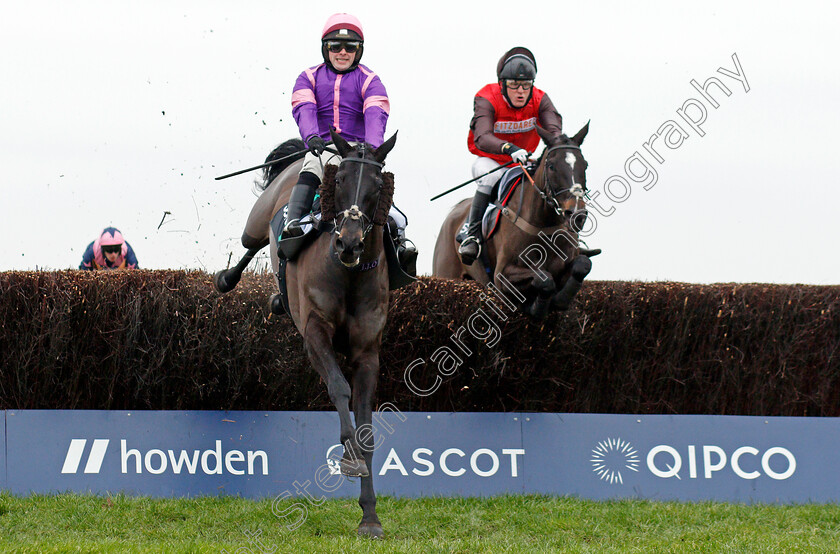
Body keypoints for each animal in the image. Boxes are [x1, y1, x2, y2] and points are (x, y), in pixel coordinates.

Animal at [213, 128, 398, 536]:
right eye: (340, 180)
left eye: (378, 186)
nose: (349, 242)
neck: (347, 273)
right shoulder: (314, 334)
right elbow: (339, 388)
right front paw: (348, 455)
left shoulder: (368, 352)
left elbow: (367, 423)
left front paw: (370, 516)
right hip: (258, 220)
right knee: (249, 246)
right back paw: (228, 278)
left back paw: (275, 300)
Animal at [434, 122, 596, 316]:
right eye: (551, 166)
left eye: (585, 165)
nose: (577, 215)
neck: (544, 225)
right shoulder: (502, 275)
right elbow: (544, 278)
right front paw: (538, 307)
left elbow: (583, 264)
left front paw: (560, 300)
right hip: (446, 274)